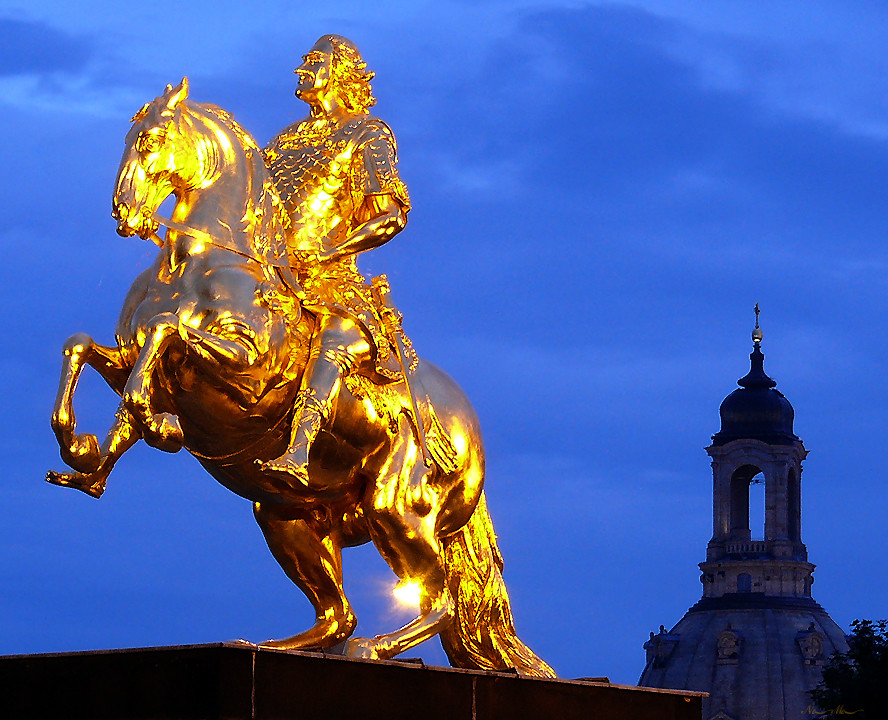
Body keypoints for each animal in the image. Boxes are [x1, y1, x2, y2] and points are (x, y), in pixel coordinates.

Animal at [46, 81, 556, 676]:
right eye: (127, 139)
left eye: (150, 140)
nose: (124, 213)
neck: (197, 263)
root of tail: (467, 428)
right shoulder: (128, 356)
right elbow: (87, 347)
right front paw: (84, 451)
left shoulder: (250, 373)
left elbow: (166, 334)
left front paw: (155, 423)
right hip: (285, 515)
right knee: (339, 615)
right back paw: (272, 645)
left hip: (395, 507)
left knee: (439, 601)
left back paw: (373, 647)